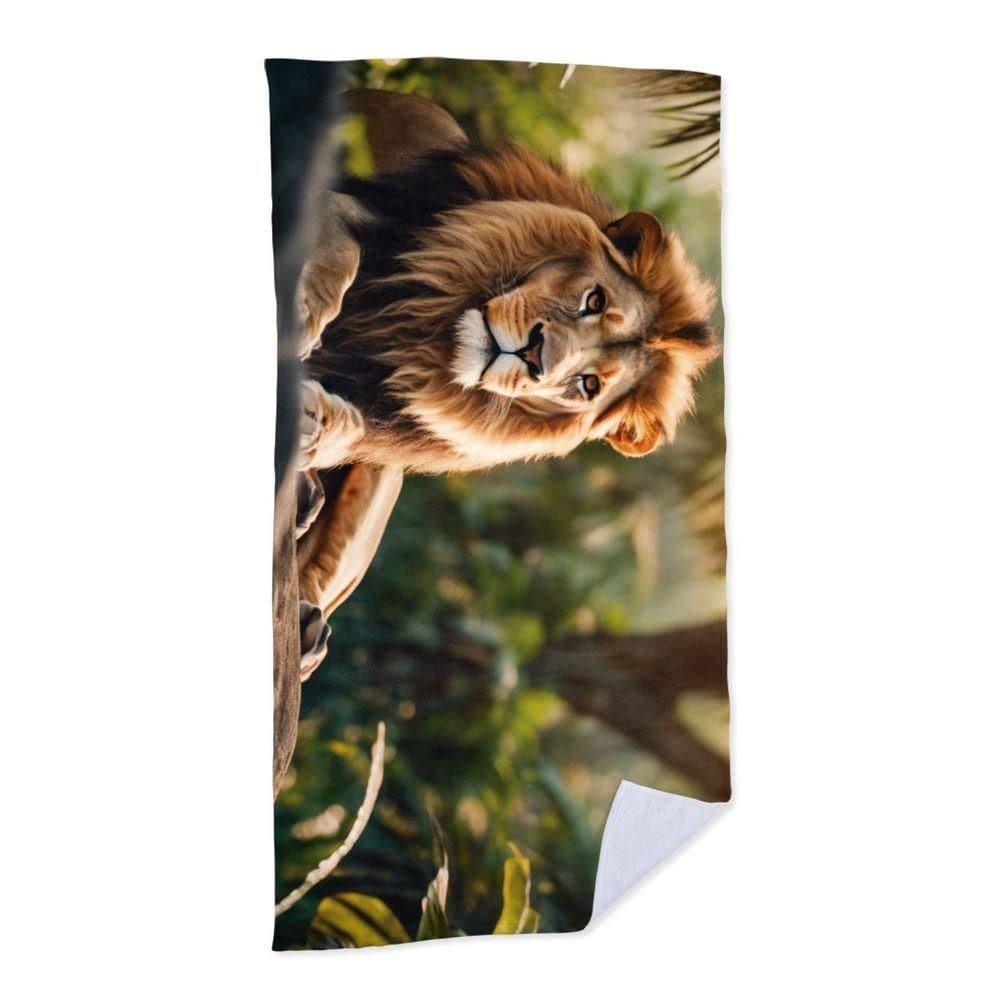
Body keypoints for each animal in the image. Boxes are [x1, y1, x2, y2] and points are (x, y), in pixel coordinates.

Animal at [291, 90, 718, 675]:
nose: (536, 354)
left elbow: (350, 428)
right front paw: (305, 313)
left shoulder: (382, 422)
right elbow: (340, 251)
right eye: (595, 301)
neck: (412, 331)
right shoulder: (353, 214)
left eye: (588, 385)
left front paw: (317, 422)